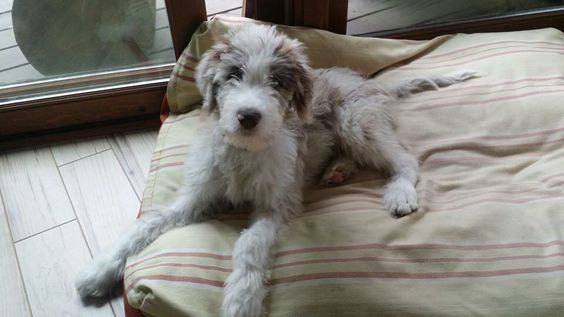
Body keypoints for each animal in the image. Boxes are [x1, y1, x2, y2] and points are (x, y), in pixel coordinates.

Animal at [77, 24, 476, 316]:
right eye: (233, 74)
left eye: (277, 82)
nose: (248, 116)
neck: (243, 152)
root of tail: (371, 83)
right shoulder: (195, 197)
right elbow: (145, 226)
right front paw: (100, 270)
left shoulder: (276, 205)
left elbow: (250, 245)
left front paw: (242, 299)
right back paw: (337, 171)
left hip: (356, 122)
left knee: (404, 160)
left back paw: (399, 193)